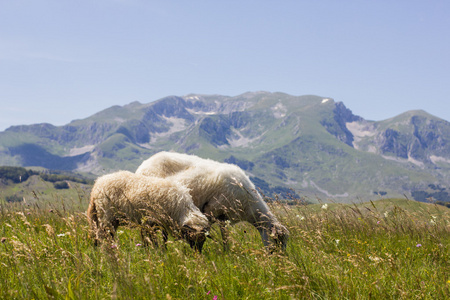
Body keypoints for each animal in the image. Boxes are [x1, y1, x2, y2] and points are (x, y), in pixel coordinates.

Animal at [135, 151, 288, 252]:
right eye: (277, 240)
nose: (279, 260)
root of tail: (143, 165)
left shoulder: (223, 217)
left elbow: (224, 235)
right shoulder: (213, 210)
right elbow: (218, 234)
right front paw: (226, 253)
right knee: (147, 230)